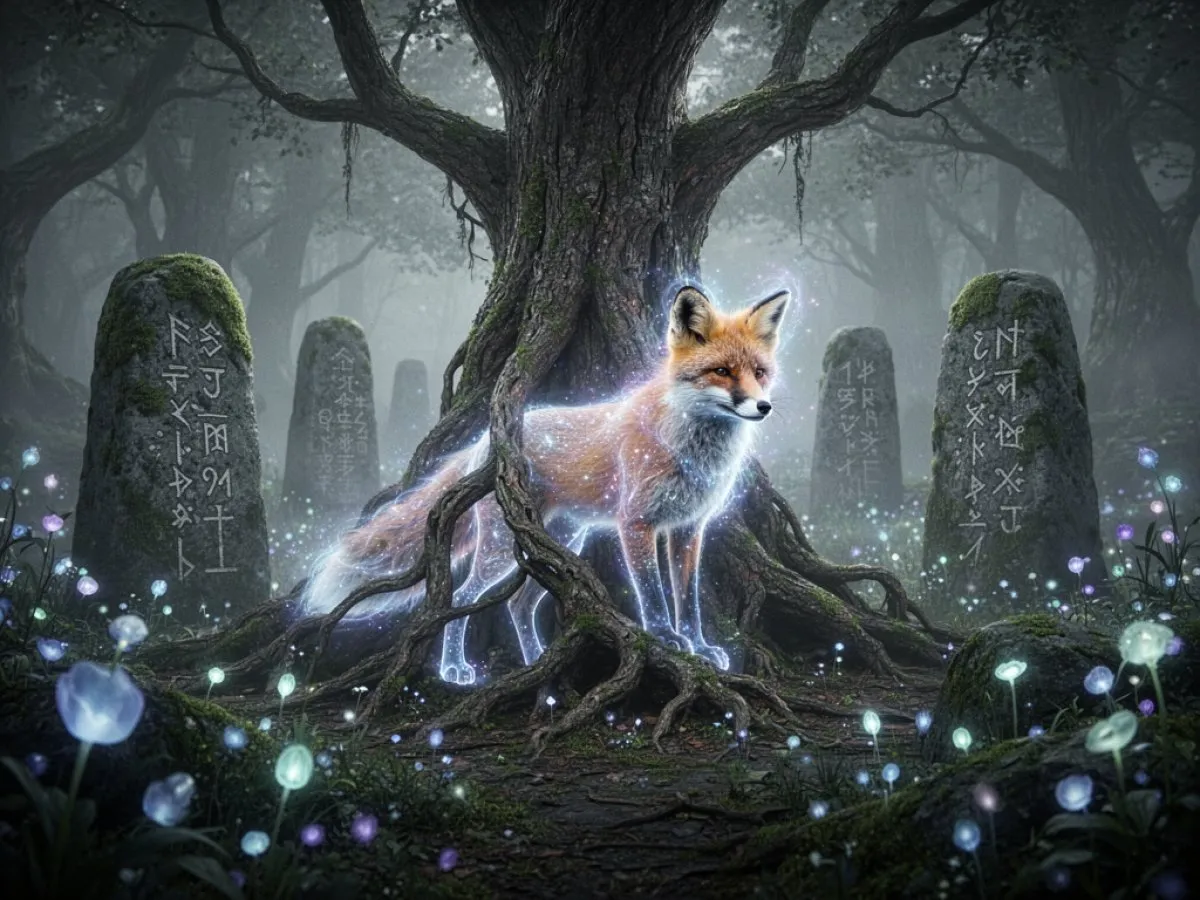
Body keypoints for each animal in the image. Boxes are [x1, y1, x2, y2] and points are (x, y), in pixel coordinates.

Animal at [297, 284, 789, 685]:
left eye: (760, 372)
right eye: (722, 371)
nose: (764, 407)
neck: (692, 449)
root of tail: (489, 441)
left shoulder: (690, 528)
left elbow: (688, 601)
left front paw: (699, 646)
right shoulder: (637, 524)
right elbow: (652, 597)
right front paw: (667, 640)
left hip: (560, 543)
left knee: (518, 605)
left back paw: (537, 662)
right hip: (503, 552)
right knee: (465, 596)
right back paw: (455, 668)